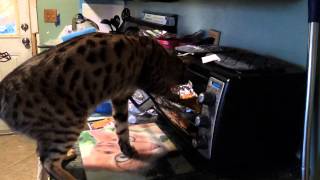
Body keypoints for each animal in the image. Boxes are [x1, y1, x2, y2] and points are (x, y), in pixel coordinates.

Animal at [0, 32, 186, 180]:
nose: (186, 83)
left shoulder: (120, 97)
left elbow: (122, 128)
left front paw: (127, 148)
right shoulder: (153, 80)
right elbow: (168, 93)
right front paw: (184, 99)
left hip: (51, 131)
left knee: (42, 157)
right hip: (69, 124)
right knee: (48, 162)